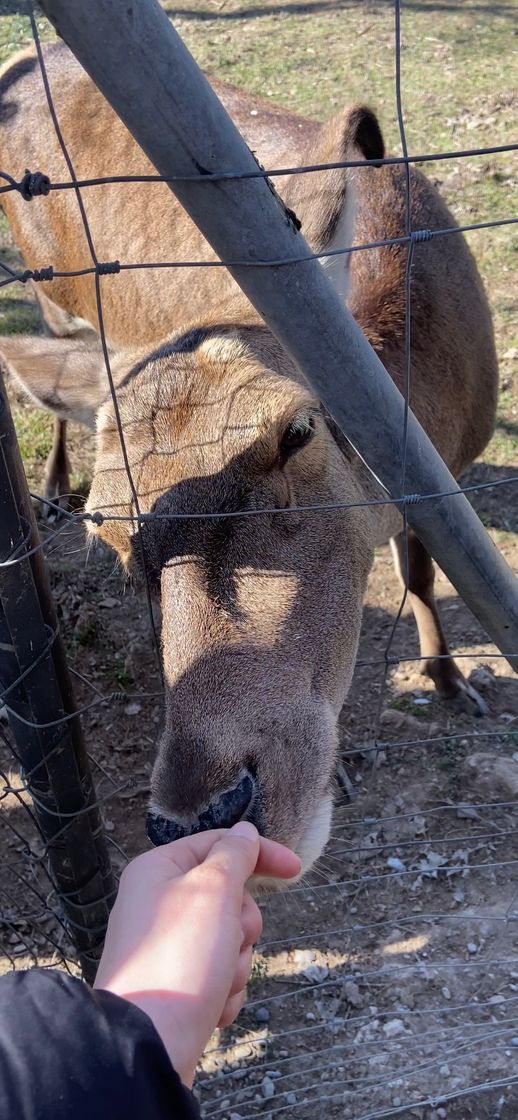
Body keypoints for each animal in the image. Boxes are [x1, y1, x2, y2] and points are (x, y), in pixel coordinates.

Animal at [0, 43, 497, 869]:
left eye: (295, 431)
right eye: (105, 523)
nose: (202, 814)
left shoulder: (445, 475)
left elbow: (424, 574)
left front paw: (452, 680)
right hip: (46, 283)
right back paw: (49, 480)